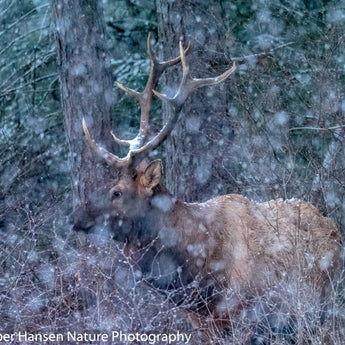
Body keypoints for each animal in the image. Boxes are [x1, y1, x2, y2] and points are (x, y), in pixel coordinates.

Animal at [76, 35, 342, 338]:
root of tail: (334, 227)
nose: (75, 216)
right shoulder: (201, 322)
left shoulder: (243, 315)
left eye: (116, 192)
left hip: (321, 304)